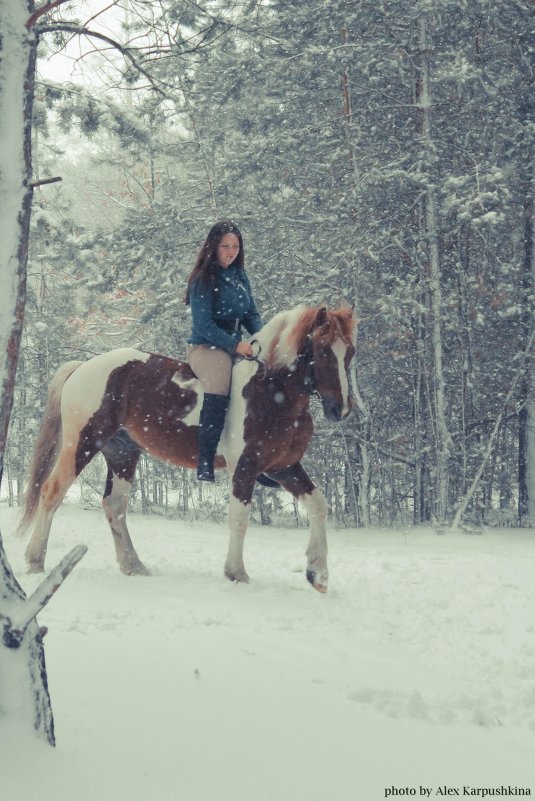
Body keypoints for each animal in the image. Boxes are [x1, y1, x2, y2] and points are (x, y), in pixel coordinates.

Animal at [18, 304, 356, 592]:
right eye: (322, 350)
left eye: (349, 352)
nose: (340, 410)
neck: (271, 393)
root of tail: (84, 367)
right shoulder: (244, 468)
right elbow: (239, 519)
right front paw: (237, 573)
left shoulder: (283, 467)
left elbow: (319, 505)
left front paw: (318, 573)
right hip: (83, 443)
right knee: (52, 491)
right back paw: (35, 561)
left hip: (122, 452)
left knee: (114, 505)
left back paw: (133, 566)